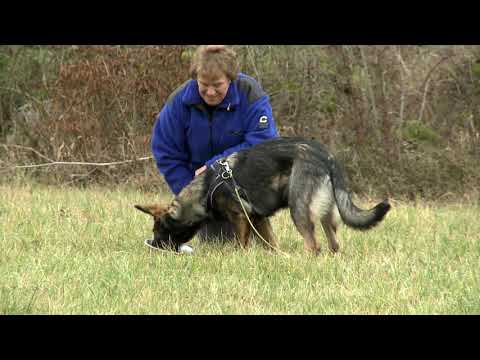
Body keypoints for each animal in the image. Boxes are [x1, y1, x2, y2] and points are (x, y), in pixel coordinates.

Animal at [134, 137, 390, 253]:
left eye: (159, 230)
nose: (152, 245)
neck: (205, 190)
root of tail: (326, 156)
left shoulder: (240, 217)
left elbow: (241, 243)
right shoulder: (258, 219)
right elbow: (271, 243)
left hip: (299, 210)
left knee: (313, 245)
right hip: (327, 213)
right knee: (334, 243)